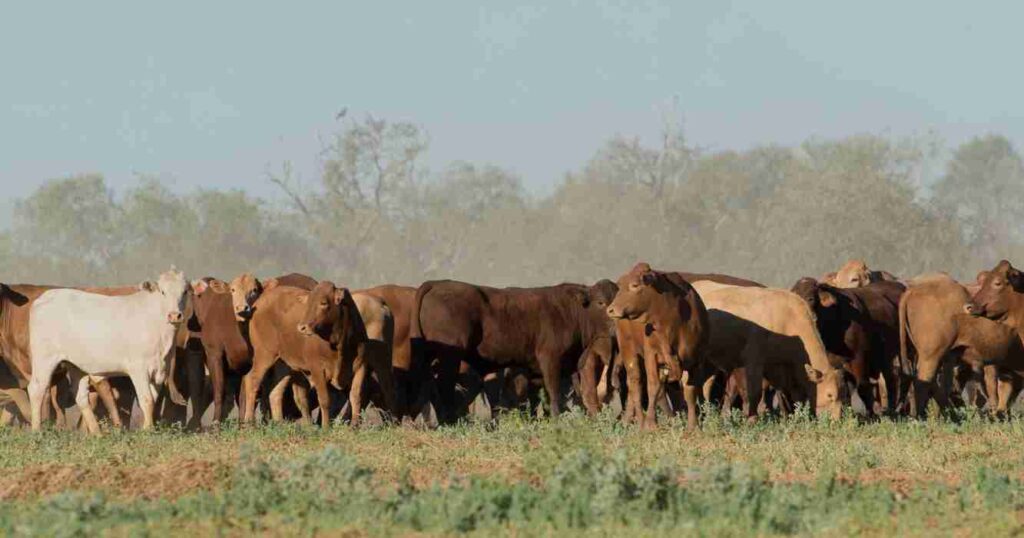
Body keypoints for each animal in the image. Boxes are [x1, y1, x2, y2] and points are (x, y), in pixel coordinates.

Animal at [27, 268, 192, 432]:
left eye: (184, 292)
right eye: (163, 292)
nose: (175, 315)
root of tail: (47, 296)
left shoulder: (159, 371)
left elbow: (153, 399)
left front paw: (146, 428)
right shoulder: (138, 368)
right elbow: (147, 399)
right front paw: (148, 430)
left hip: (75, 364)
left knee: (80, 396)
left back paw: (97, 433)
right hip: (44, 358)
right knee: (36, 389)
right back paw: (36, 430)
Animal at [299, 278, 397, 426]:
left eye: (323, 303)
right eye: (308, 302)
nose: (302, 327)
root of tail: (380, 304)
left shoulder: (361, 365)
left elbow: (356, 396)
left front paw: (353, 426)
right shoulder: (319, 371)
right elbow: (326, 400)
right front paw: (327, 425)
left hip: (383, 364)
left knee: (387, 392)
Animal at [407, 278, 614, 422]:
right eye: (601, 302)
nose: (617, 318)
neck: (572, 311)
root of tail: (437, 284)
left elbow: (536, 398)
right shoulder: (550, 360)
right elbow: (553, 392)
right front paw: (556, 419)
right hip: (449, 357)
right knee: (443, 386)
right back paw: (450, 420)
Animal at [602, 262, 708, 430]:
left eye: (634, 285)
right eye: (620, 287)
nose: (610, 309)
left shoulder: (697, 361)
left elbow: (690, 391)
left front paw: (693, 426)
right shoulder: (652, 355)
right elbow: (653, 387)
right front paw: (651, 424)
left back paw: (629, 420)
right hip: (629, 350)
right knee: (636, 384)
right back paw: (640, 422)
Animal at [790, 276, 905, 416]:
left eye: (810, 298)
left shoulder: (858, 359)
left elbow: (863, 387)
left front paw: (870, 415)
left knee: (894, 380)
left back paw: (892, 410)